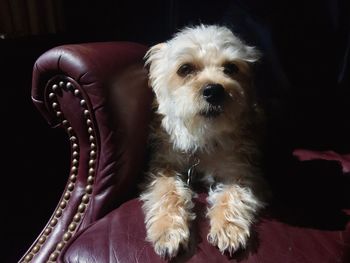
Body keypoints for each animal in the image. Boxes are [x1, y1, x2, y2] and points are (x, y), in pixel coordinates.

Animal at [139, 24, 266, 260]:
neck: (204, 136)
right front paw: (168, 230)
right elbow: (167, 191)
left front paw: (228, 229)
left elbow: (232, 193)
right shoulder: (164, 165)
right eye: (185, 69)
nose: (214, 90)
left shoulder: (242, 170)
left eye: (231, 68)